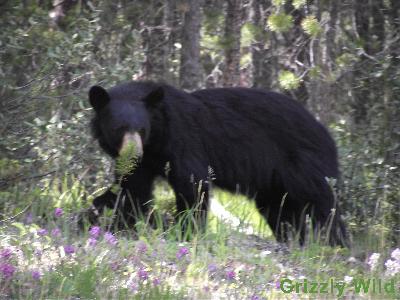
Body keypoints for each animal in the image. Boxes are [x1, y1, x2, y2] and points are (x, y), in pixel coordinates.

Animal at [87, 80, 346, 246]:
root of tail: (327, 134)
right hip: (273, 184)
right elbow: (132, 190)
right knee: (280, 211)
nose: (133, 154)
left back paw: (334, 243)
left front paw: (187, 230)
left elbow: (193, 183)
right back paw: (294, 240)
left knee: (322, 204)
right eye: (119, 128)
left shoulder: (182, 138)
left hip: (304, 163)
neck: (157, 139)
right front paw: (110, 220)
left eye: (142, 129)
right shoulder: (145, 161)